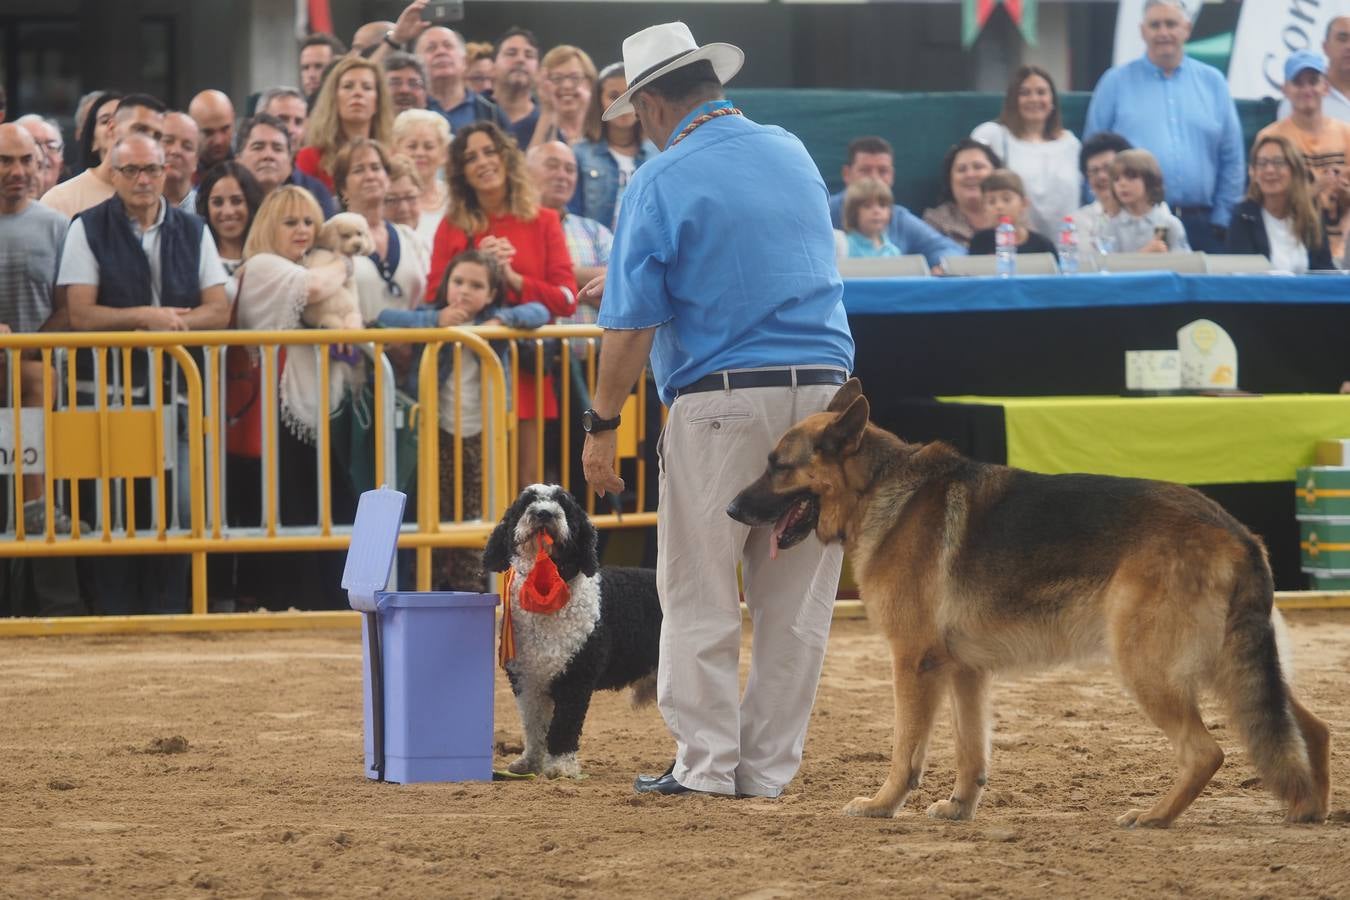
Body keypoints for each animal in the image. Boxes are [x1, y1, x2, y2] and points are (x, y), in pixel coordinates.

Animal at [486, 483, 664, 777]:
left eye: (564, 504)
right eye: (527, 502)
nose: (544, 513)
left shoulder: (576, 679)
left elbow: (564, 727)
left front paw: (560, 766)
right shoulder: (527, 681)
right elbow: (535, 727)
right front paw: (530, 762)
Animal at [729, 377, 1328, 825]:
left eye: (777, 465)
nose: (732, 509)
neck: (880, 487)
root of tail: (1236, 531)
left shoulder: (913, 665)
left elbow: (906, 750)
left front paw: (883, 805)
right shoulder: (965, 672)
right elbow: (970, 750)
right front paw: (959, 808)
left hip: (1150, 669)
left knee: (1207, 751)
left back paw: (1155, 816)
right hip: (1236, 673)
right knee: (1310, 728)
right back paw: (1311, 812)